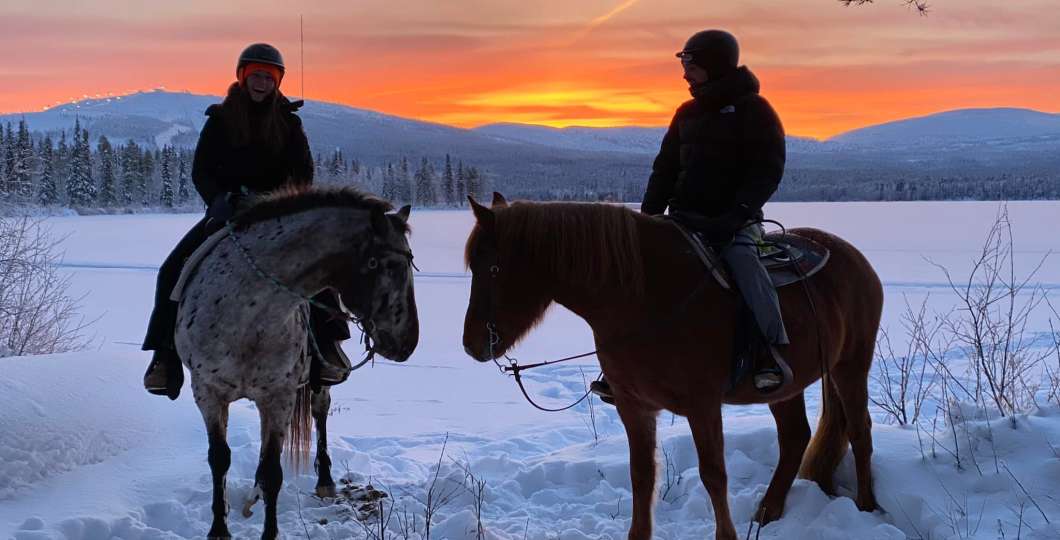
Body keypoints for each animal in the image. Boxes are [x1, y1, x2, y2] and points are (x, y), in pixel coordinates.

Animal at [173, 187, 417, 536]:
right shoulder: (207, 392)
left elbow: (272, 471)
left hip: (315, 382)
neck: (247, 316)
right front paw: (219, 529)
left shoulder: (279, 395)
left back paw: (324, 480)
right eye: (389, 267)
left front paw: (269, 532)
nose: (408, 342)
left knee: (320, 412)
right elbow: (219, 459)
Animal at [460, 194, 881, 538]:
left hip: (850, 365)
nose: (472, 344)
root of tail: (856, 259)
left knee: (859, 430)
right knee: (795, 438)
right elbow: (641, 476)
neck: (646, 299)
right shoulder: (634, 406)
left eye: (494, 269)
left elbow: (714, 475)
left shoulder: (702, 405)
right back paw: (768, 512)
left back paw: (868, 506)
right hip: (785, 386)